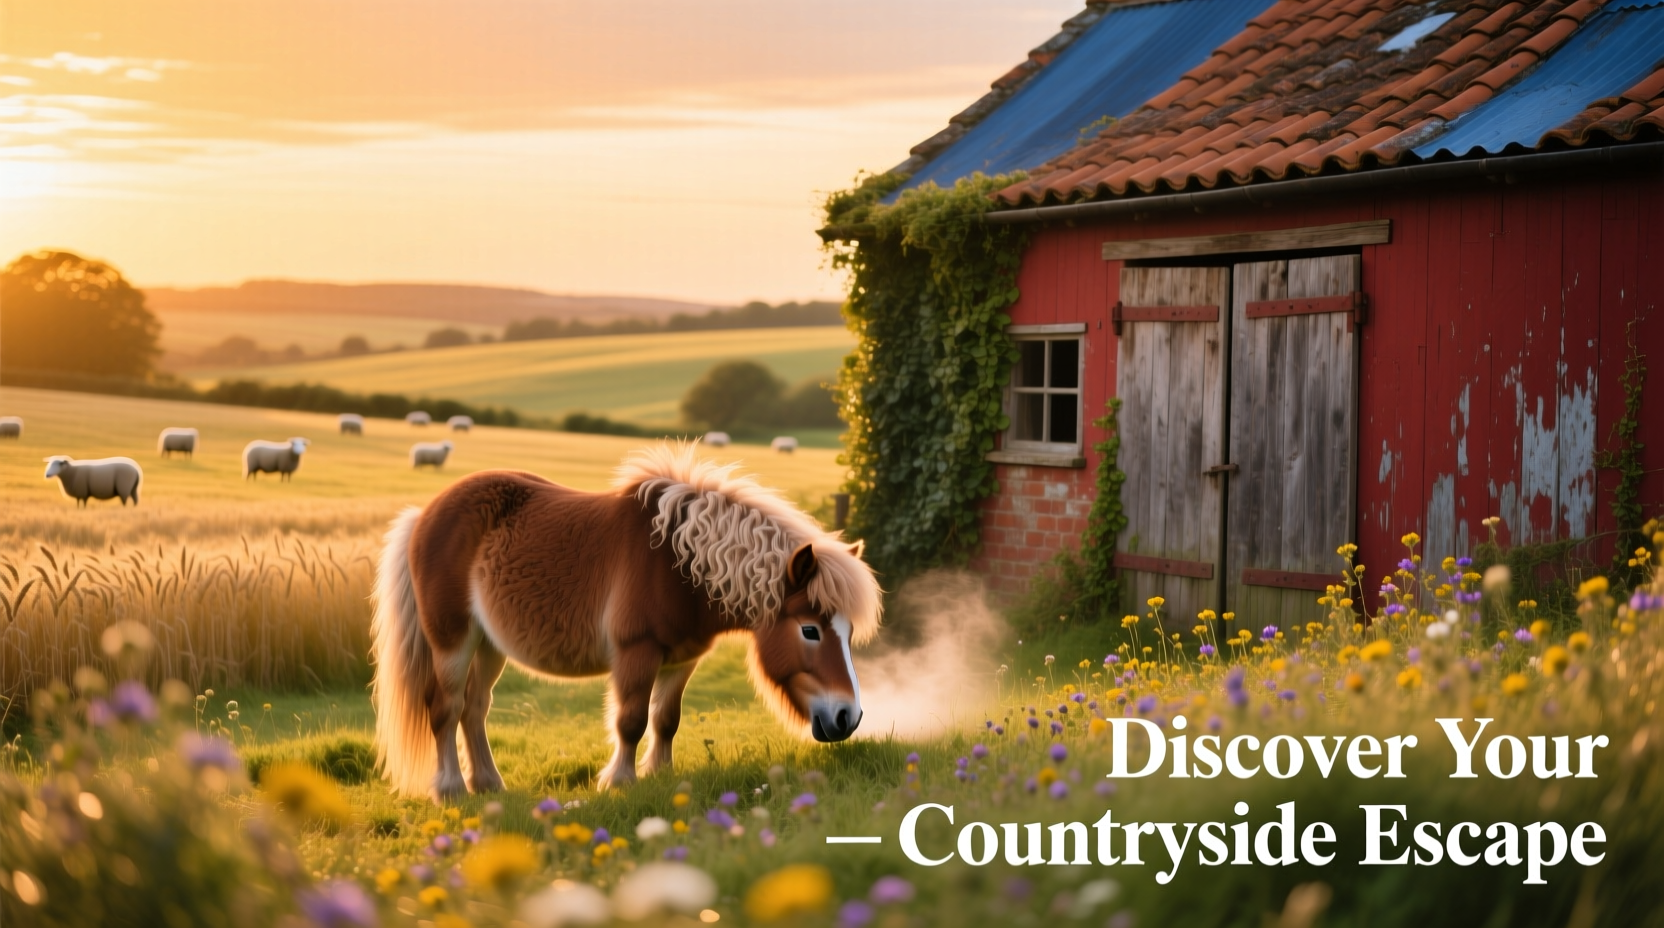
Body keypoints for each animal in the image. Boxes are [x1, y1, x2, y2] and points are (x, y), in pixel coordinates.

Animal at [370, 443, 882, 800]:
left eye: (848, 632)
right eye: (810, 629)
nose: (848, 717)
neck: (680, 566)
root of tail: (424, 514)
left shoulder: (682, 659)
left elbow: (666, 719)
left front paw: (661, 774)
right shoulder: (638, 652)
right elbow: (631, 720)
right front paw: (620, 781)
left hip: (491, 644)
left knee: (475, 709)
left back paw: (489, 783)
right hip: (452, 640)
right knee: (446, 707)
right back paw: (451, 788)